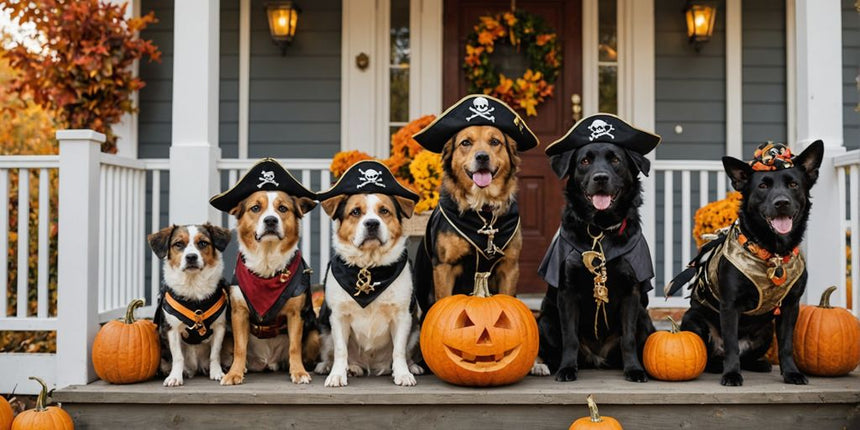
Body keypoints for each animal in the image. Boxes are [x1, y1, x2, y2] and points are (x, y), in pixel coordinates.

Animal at [148, 223, 230, 388]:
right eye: (178, 244)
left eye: (203, 243)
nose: (191, 257)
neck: (193, 285)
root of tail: (195, 367)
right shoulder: (171, 329)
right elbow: (178, 356)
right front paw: (175, 377)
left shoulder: (220, 327)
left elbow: (215, 353)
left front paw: (216, 372)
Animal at [314, 160, 424, 386]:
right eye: (356, 212)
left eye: (384, 211)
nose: (372, 223)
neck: (369, 266)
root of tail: (371, 366)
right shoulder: (338, 316)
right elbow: (340, 351)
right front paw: (337, 374)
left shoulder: (402, 315)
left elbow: (399, 351)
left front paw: (402, 373)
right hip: (323, 326)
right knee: (332, 352)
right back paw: (336, 367)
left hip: (416, 324)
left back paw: (411, 366)